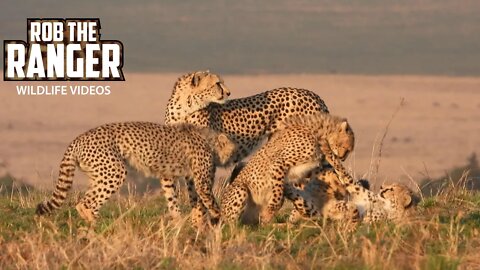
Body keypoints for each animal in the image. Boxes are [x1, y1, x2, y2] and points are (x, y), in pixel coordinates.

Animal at [35, 122, 236, 226]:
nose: (233, 160)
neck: (208, 139)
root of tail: (77, 139)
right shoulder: (201, 181)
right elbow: (210, 200)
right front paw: (221, 219)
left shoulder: (171, 175)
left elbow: (177, 198)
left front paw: (181, 220)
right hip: (114, 172)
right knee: (85, 203)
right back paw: (98, 223)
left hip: (98, 174)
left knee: (83, 201)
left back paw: (93, 221)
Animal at [219, 113, 354, 225]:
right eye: (346, 149)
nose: (342, 158)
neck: (317, 133)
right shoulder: (278, 163)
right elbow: (278, 196)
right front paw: (269, 212)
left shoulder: (308, 169)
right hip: (240, 189)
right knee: (232, 225)